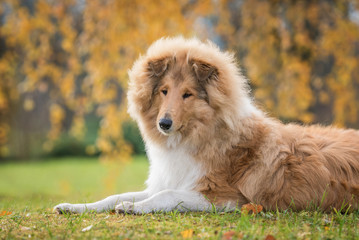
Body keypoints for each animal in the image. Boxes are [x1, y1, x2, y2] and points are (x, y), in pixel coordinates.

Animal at [54, 36, 359, 214]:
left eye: (187, 94)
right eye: (164, 91)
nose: (164, 124)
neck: (201, 136)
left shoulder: (226, 197)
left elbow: (164, 196)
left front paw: (131, 207)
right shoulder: (169, 179)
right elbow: (113, 196)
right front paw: (74, 206)